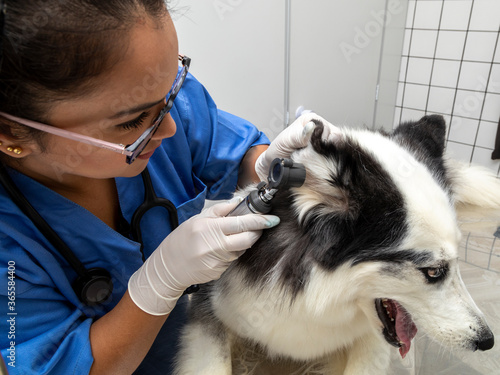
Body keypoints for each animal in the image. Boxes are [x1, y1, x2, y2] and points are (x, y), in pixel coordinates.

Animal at [175, 115, 496, 375]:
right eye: (432, 271)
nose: (487, 341)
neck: (313, 298)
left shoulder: (370, 339)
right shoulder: (209, 311)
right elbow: (214, 364)